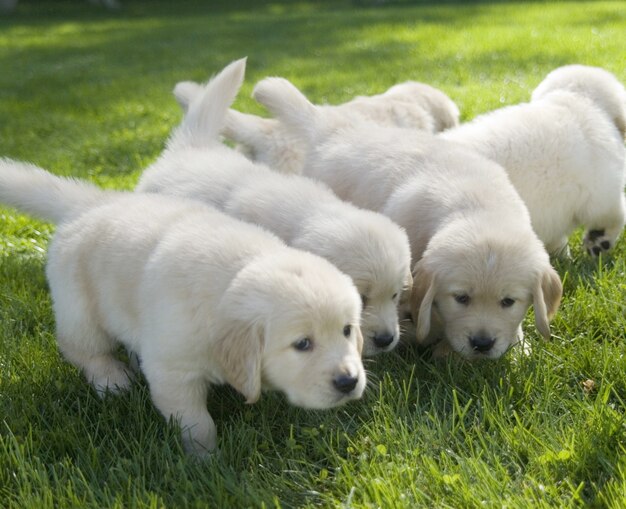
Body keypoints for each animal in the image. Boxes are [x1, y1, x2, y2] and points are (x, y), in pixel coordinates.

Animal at [0, 158, 366, 452]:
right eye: (302, 344)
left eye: (347, 331)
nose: (348, 382)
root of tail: (92, 202)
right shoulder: (172, 371)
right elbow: (197, 422)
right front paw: (206, 460)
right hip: (79, 306)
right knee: (83, 349)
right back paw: (112, 379)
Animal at [252, 77, 560, 360]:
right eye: (461, 298)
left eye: (508, 301)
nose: (482, 344)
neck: (480, 206)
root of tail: (335, 128)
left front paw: (518, 346)